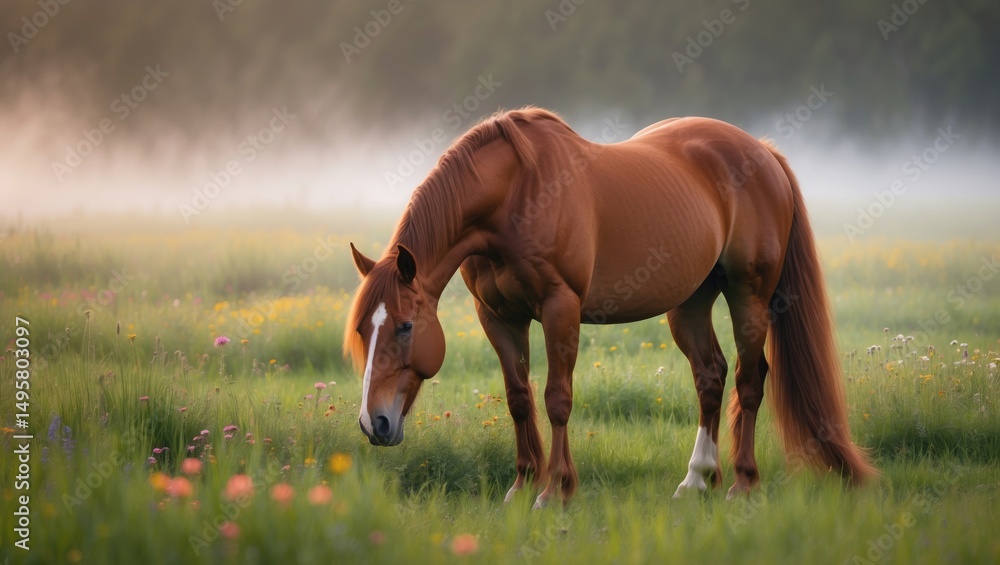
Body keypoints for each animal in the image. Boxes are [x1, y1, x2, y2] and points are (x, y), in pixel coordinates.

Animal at [344, 107, 877, 508]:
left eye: (405, 326)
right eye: (363, 332)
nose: (374, 424)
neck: (516, 192)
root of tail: (763, 152)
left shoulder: (559, 307)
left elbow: (556, 399)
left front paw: (555, 492)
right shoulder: (498, 317)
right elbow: (519, 399)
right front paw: (521, 487)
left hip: (750, 294)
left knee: (749, 380)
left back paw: (743, 484)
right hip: (690, 303)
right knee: (710, 376)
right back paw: (696, 479)